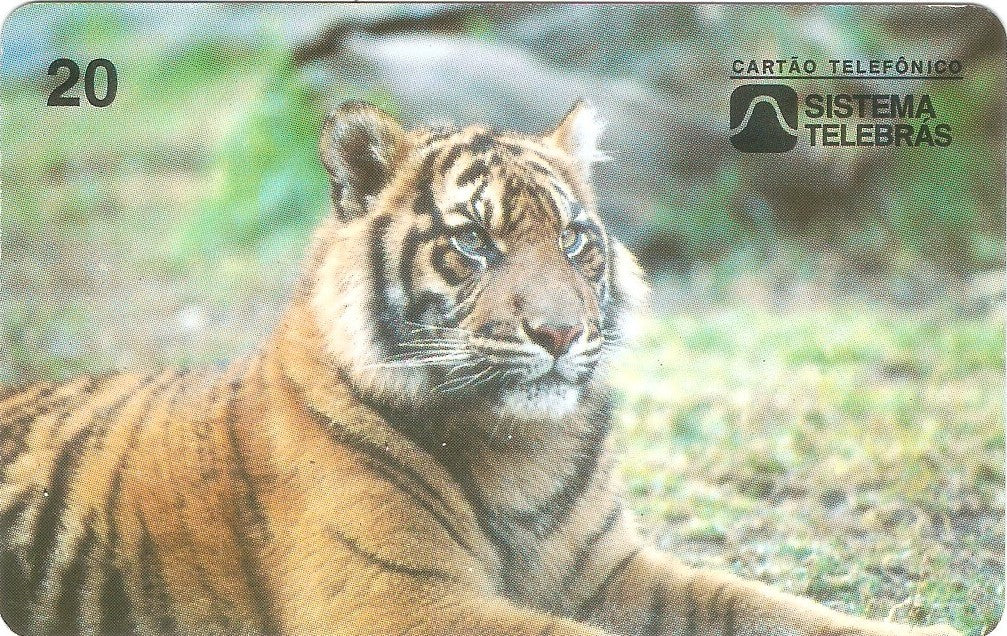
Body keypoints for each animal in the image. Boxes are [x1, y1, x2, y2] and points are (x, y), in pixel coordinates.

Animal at [0, 99, 962, 636]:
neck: (516, 449)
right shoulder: (395, 601)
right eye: (472, 243)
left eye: (573, 241)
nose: (561, 332)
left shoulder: (607, 572)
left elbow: (771, 606)